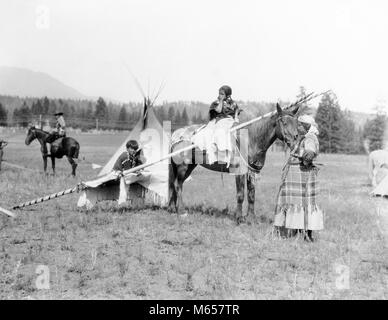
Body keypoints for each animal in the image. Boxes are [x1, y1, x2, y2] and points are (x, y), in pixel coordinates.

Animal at [169, 104, 300, 224]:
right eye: (284, 122)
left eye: (296, 122)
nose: (295, 139)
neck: (250, 140)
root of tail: (177, 135)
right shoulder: (239, 172)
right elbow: (240, 195)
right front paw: (239, 218)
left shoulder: (252, 172)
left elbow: (251, 195)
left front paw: (251, 218)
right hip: (183, 167)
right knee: (177, 185)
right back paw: (181, 211)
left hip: (189, 167)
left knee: (175, 184)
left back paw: (173, 208)